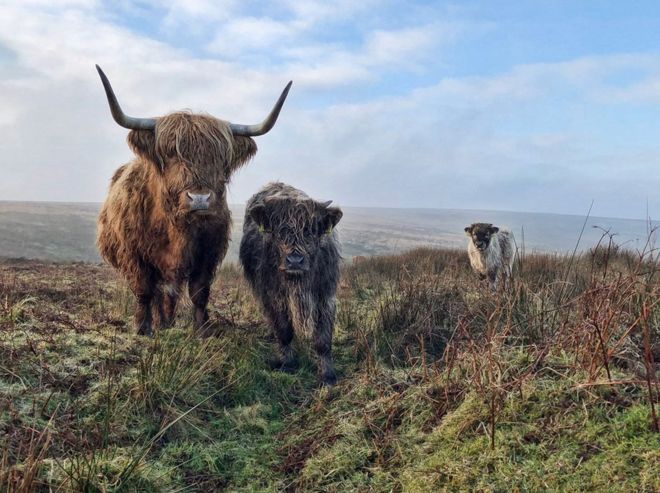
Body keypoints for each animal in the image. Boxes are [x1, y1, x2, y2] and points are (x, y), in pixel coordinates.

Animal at [96, 64, 292, 334]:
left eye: (222, 158)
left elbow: (199, 292)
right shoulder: (133, 253)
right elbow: (144, 289)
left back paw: (166, 322)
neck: (175, 227)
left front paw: (202, 329)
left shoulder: (208, 253)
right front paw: (142, 328)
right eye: (170, 154)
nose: (199, 199)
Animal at [242, 182, 346, 384]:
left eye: (310, 231)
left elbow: (323, 339)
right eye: (279, 231)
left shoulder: (325, 296)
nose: (295, 260)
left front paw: (328, 374)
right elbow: (284, 330)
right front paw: (288, 363)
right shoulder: (274, 295)